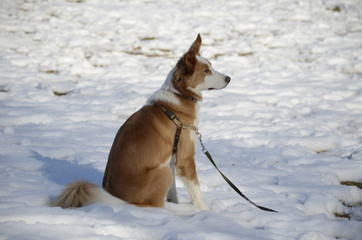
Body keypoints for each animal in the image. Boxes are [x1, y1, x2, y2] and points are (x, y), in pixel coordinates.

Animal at [49, 33, 230, 210]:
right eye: (206, 71)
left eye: (211, 66)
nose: (229, 78)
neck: (179, 94)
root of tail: (120, 199)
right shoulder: (185, 158)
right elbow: (196, 192)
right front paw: (204, 211)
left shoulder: (173, 157)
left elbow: (173, 193)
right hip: (163, 171)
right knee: (155, 205)